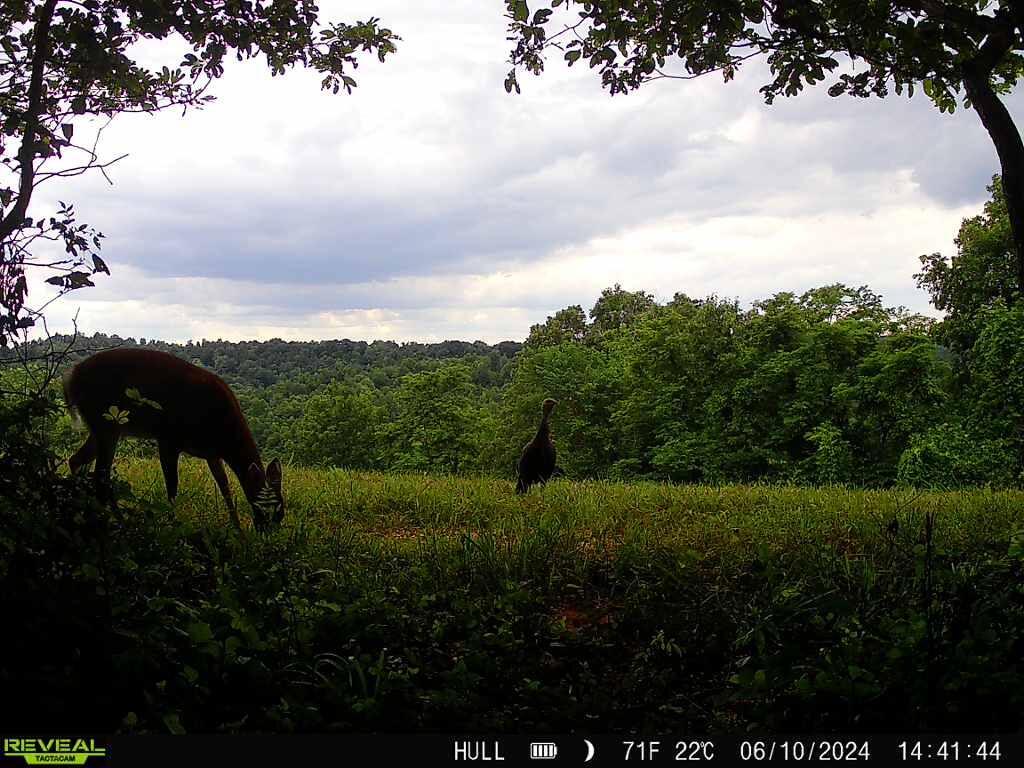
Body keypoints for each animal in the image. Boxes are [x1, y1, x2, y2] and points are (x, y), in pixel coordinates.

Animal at [62, 348, 284, 532]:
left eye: (281, 511)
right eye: (268, 507)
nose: (269, 532)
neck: (225, 431)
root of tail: (72, 376)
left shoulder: (212, 453)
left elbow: (224, 486)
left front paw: (237, 529)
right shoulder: (168, 439)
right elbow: (172, 488)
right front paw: (172, 526)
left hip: (104, 426)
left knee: (77, 461)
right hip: (107, 422)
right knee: (101, 477)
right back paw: (118, 522)